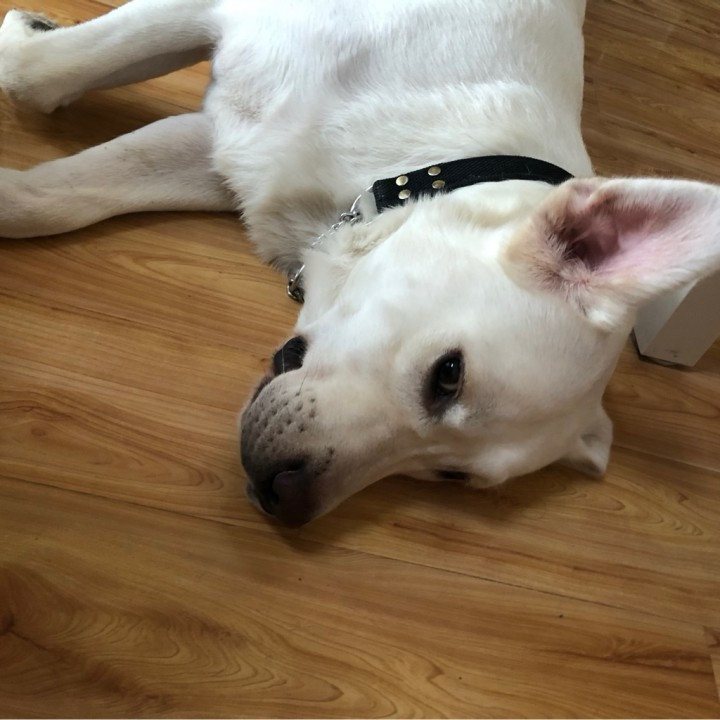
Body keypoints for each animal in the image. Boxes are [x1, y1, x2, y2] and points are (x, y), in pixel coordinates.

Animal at [1, 0, 719, 527]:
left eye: (450, 475)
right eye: (449, 375)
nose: (284, 499)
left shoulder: (227, 155)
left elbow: (58, 196)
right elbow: (38, 74)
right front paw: (27, 35)